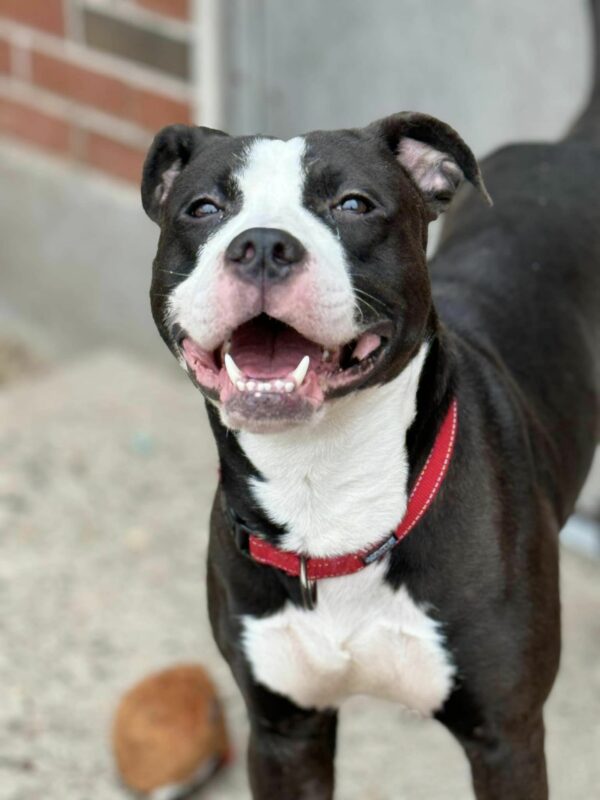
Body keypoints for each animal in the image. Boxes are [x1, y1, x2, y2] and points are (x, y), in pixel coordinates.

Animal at [142, 6, 600, 800]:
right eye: (203, 209)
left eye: (353, 204)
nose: (262, 245)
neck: (326, 493)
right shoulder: (284, 731)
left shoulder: (507, 738)